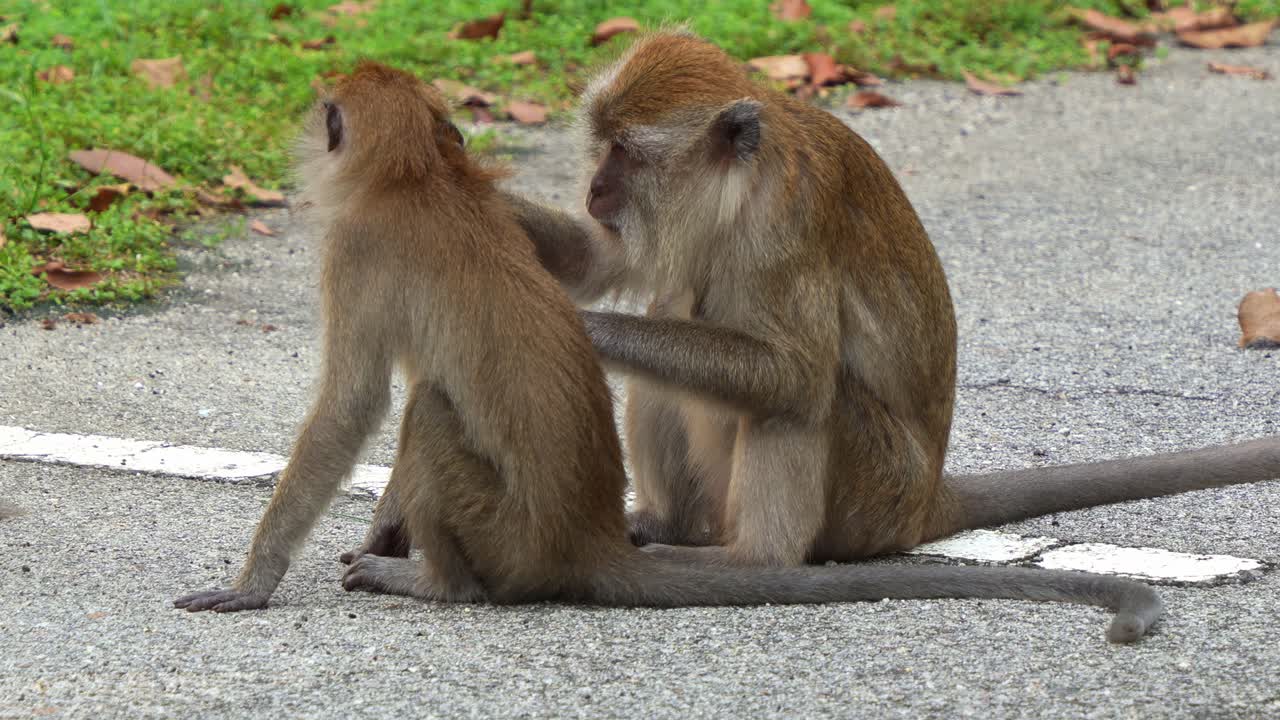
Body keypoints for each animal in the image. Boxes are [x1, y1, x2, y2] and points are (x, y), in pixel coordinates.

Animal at [174, 60, 1167, 644]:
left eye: (624, 152)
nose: (595, 184)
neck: (415, 177)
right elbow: (596, 259)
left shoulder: (354, 255)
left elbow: (351, 409)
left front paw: (254, 582)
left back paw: (442, 583)